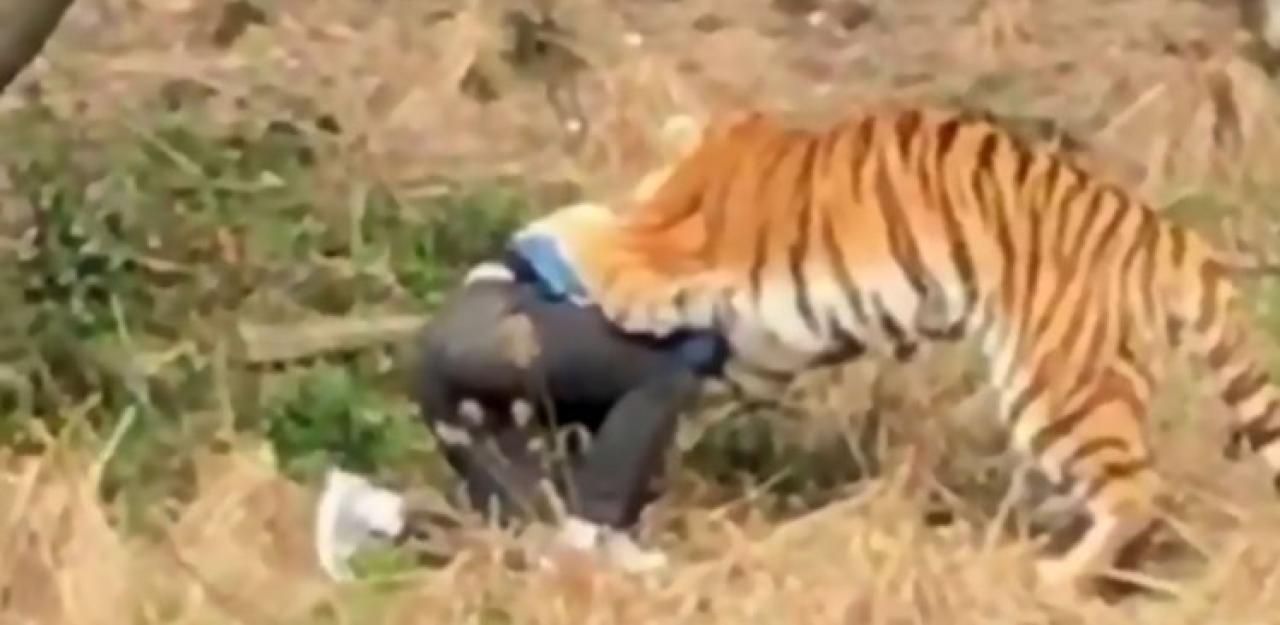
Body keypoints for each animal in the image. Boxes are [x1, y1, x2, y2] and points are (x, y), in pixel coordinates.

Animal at [507, 102, 1280, 594]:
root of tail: (1159, 228)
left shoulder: (663, 255)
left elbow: (599, 236)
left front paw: (542, 235)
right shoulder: (759, 349)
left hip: (1058, 383)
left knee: (1136, 488)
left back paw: (1059, 575)